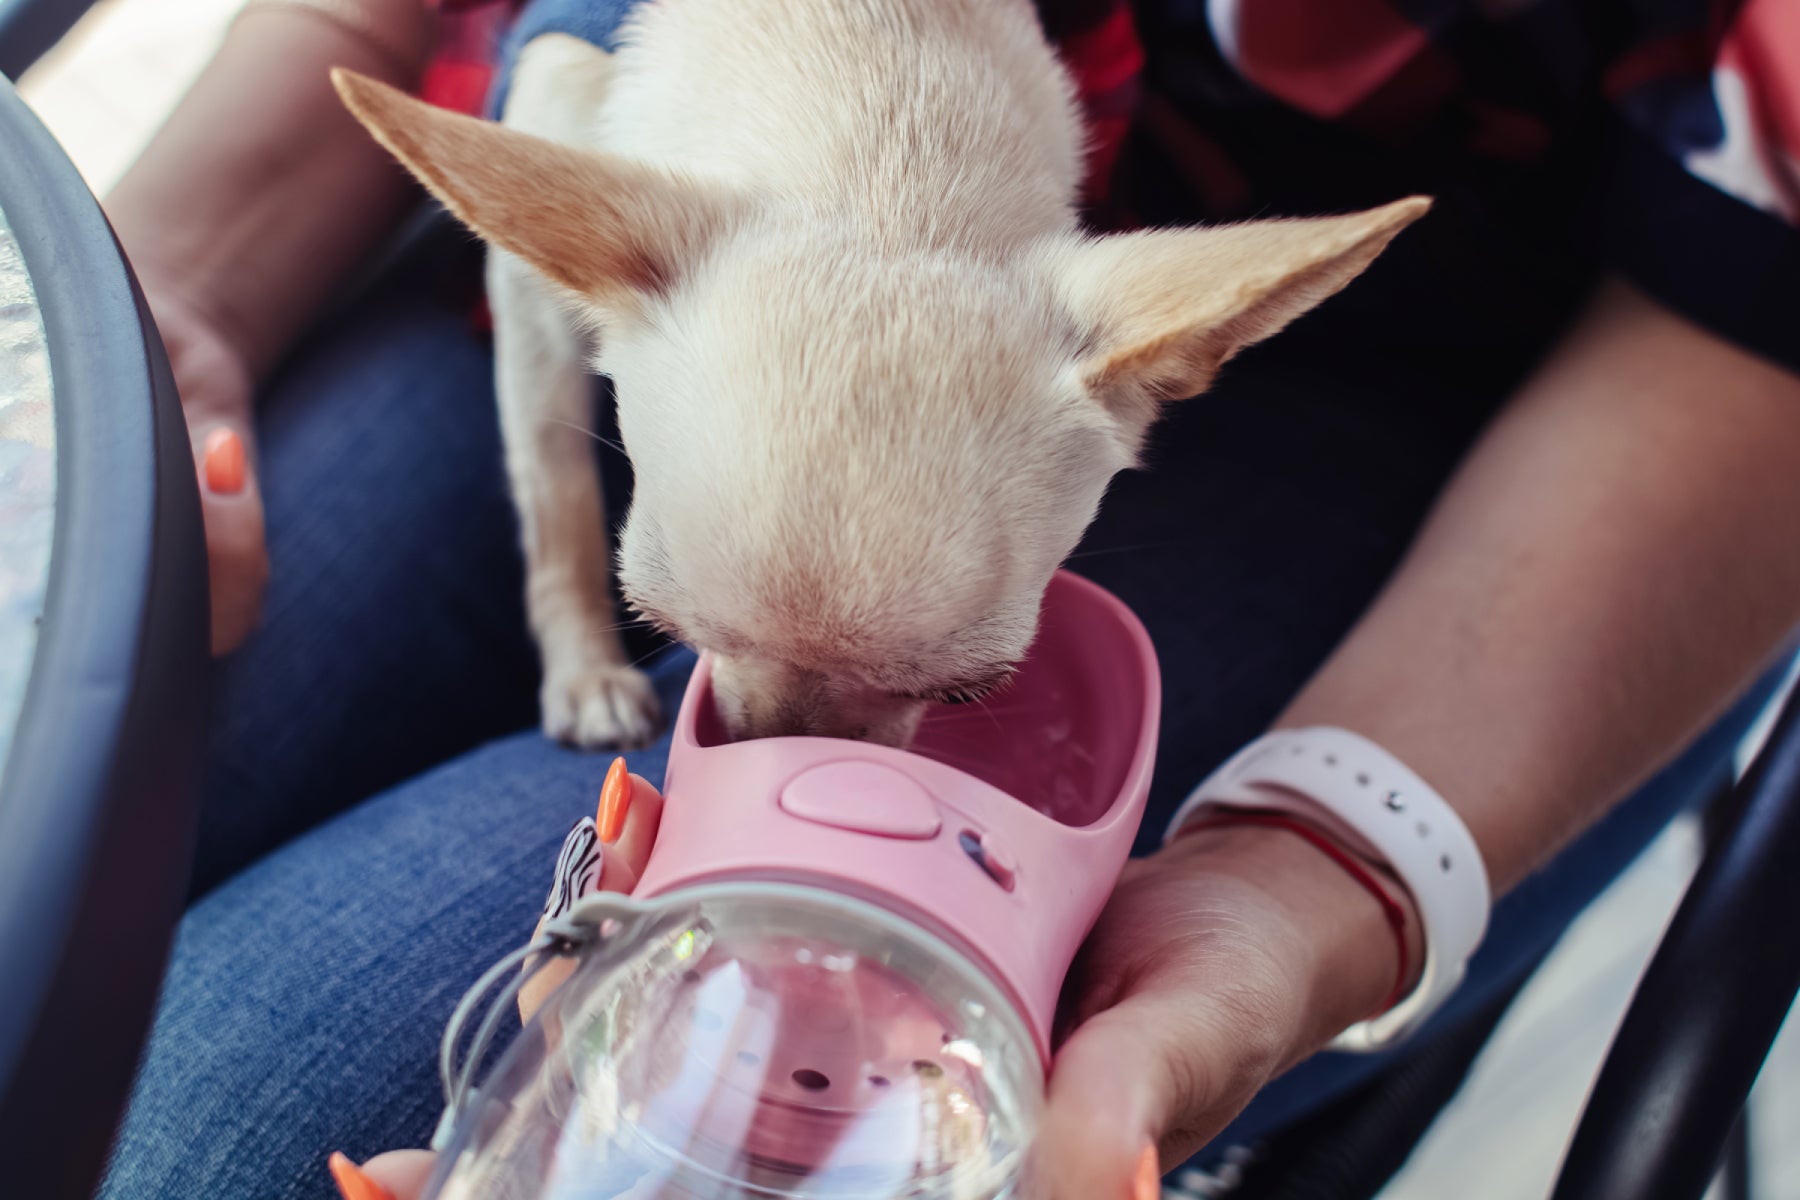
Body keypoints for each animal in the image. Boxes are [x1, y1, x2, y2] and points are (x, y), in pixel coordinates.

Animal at [327, 0, 1418, 752]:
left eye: (972, 691)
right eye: (653, 620)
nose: (771, 751)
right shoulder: (529, 277)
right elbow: (553, 488)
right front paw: (585, 672)